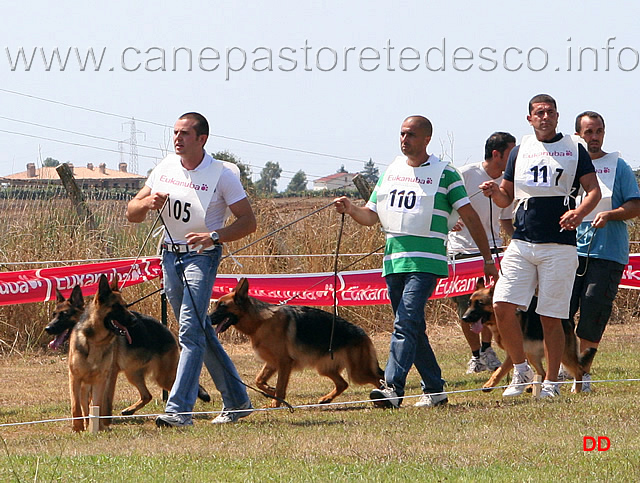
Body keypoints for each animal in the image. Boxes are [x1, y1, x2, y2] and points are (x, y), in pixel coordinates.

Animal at [62, 278, 209, 432]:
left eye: (125, 306)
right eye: (116, 307)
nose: (134, 320)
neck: (95, 340)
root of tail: (167, 330)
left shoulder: (106, 377)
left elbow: (102, 402)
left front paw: (102, 423)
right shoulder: (77, 378)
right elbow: (79, 405)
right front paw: (82, 426)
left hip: (162, 378)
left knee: (183, 388)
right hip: (133, 374)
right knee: (147, 395)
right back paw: (129, 410)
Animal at [210, 278, 382, 406]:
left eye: (222, 306)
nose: (207, 319)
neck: (260, 322)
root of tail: (362, 333)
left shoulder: (284, 362)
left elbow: (280, 387)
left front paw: (276, 403)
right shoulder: (273, 363)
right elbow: (259, 380)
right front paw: (271, 391)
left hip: (358, 372)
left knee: (378, 379)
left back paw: (385, 398)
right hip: (325, 368)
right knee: (343, 384)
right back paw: (327, 399)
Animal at [462, 280, 596, 394]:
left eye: (480, 304)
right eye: (469, 303)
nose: (464, 318)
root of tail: (567, 319)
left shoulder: (512, 354)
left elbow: (499, 371)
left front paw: (489, 385)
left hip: (563, 354)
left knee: (579, 370)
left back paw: (577, 391)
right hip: (533, 355)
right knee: (543, 372)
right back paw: (534, 387)